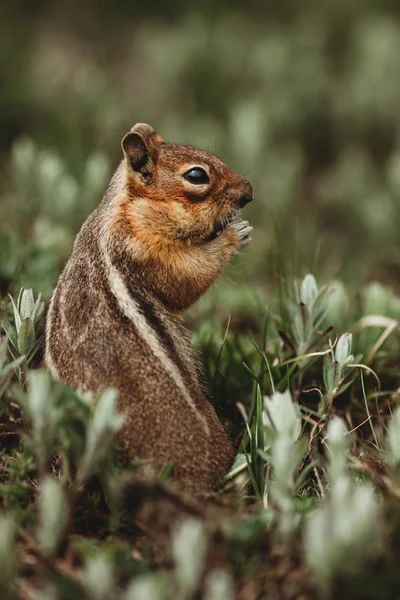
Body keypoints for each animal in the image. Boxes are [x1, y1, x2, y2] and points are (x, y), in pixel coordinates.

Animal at [45, 122, 252, 492]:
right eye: (197, 175)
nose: (249, 192)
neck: (129, 209)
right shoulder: (145, 249)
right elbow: (186, 279)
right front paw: (233, 235)